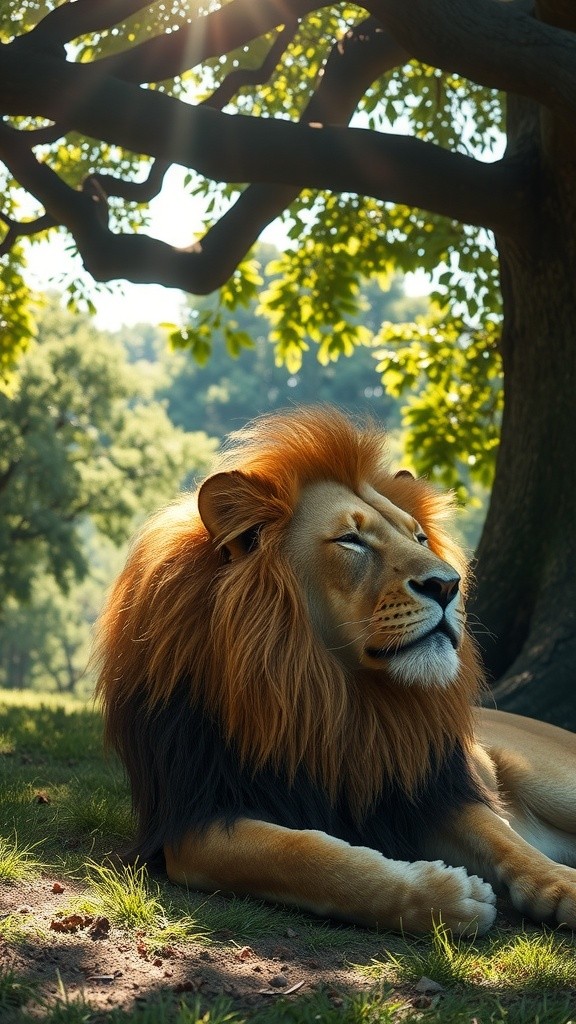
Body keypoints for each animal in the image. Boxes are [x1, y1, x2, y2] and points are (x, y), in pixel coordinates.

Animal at [96, 406, 576, 935]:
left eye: (420, 537)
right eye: (351, 540)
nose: (449, 585)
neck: (333, 695)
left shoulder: (430, 789)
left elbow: (508, 842)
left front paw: (561, 885)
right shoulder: (192, 818)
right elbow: (305, 856)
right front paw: (444, 896)